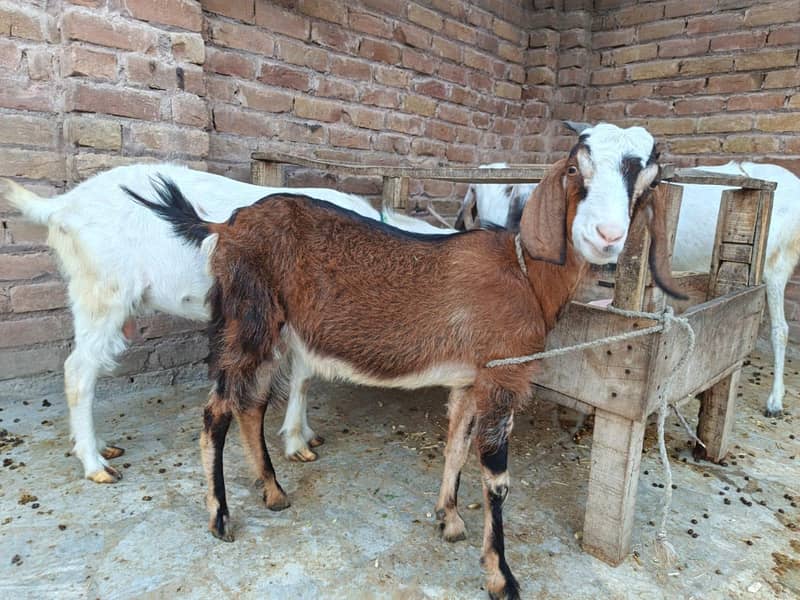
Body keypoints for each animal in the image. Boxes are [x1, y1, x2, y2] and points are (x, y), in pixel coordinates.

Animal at [1, 163, 452, 483]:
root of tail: (62, 205)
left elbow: (302, 377)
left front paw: (305, 434)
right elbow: (305, 379)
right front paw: (297, 444)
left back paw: (100, 447)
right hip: (102, 294)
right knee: (78, 371)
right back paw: (95, 464)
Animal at [130, 123, 683, 599]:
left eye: (647, 180)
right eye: (574, 168)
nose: (606, 235)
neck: (525, 273)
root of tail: (225, 225)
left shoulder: (470, 380)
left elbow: (456, 445)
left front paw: (449, 518)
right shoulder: (503, 376)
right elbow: (497, 479)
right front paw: (501, 577)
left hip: (271, 329)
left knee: (252, 405)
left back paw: (272, 491)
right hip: (247, 322)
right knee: (215, 412)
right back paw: (220, 516)